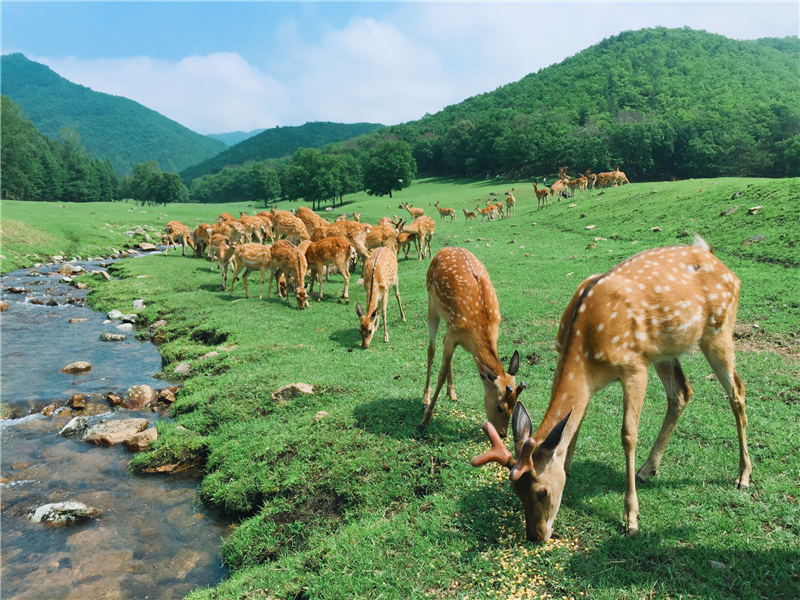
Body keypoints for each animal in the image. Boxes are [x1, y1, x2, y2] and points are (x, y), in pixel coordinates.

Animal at [418, 246, 524, 438]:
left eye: (514, 406)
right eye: (500, 406)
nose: (502, 434)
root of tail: (444, 249)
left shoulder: (453, 333)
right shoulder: (454, 332)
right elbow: (441, 374)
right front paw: (425, 420)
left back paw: (452, 392)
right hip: (432, 303)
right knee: (431, 348)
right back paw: (426, 397)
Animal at [468, 237, 752, 540]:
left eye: (541, 492)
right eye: (515, 490)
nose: (536, 535)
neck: (587, 352)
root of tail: (723, 266)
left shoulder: (634, 366)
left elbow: (628, 435)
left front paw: (631, 518)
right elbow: (576, 423)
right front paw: (569, 468)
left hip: (718, 330)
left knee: (737, 391)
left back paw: (743, 476)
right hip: (664, 351)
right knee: (682, 393)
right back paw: (648, 469)